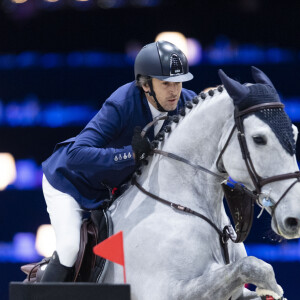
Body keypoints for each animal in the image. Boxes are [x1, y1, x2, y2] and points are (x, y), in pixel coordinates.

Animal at [101, 68, 300, 300]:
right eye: (259, 139)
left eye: (295, 133)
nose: (295, 219)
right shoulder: (167, 291)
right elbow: (252, 266)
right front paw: (271, 287)